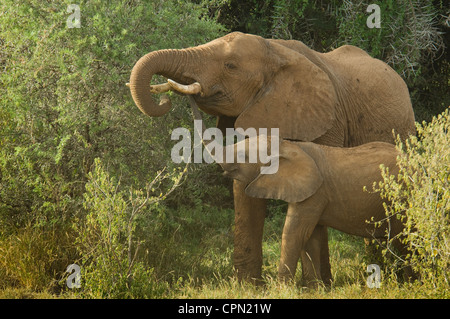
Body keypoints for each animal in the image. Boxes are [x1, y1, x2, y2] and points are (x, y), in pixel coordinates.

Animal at [218, 137, 408, 288]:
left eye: (243, 156)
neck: (286, 145)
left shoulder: (315, 193)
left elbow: (295, 234)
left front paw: (281, 290)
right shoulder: (310, 194)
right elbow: (310, 238)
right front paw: (314, 290)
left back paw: (411, 283)